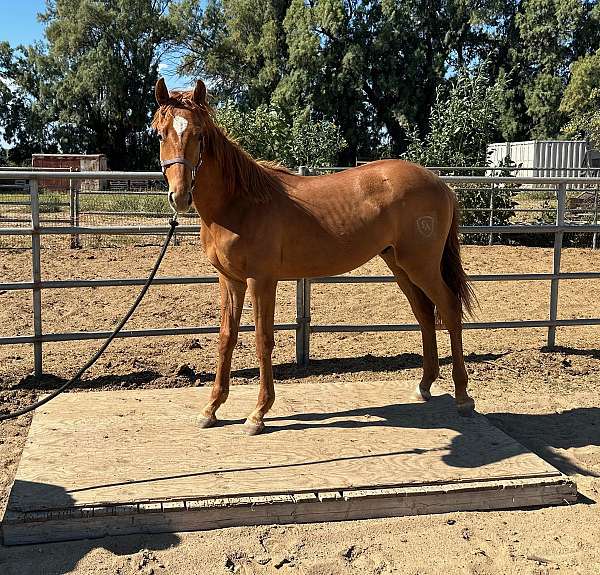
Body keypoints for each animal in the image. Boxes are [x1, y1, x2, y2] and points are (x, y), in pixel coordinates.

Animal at [152, 79, 476, 434]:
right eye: (160, 134)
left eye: (199, 135)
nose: (180, 196)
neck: (240, 203)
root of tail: (440, 183)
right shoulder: (230, 281)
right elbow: (227, 338)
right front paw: (211, 409)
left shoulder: (261, 280)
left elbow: (263, 340)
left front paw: (258, 413)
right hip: (400, 266)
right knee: (425, 315)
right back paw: (424, 386)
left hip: (422, 266)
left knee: (449, 310)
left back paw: (462, 397)